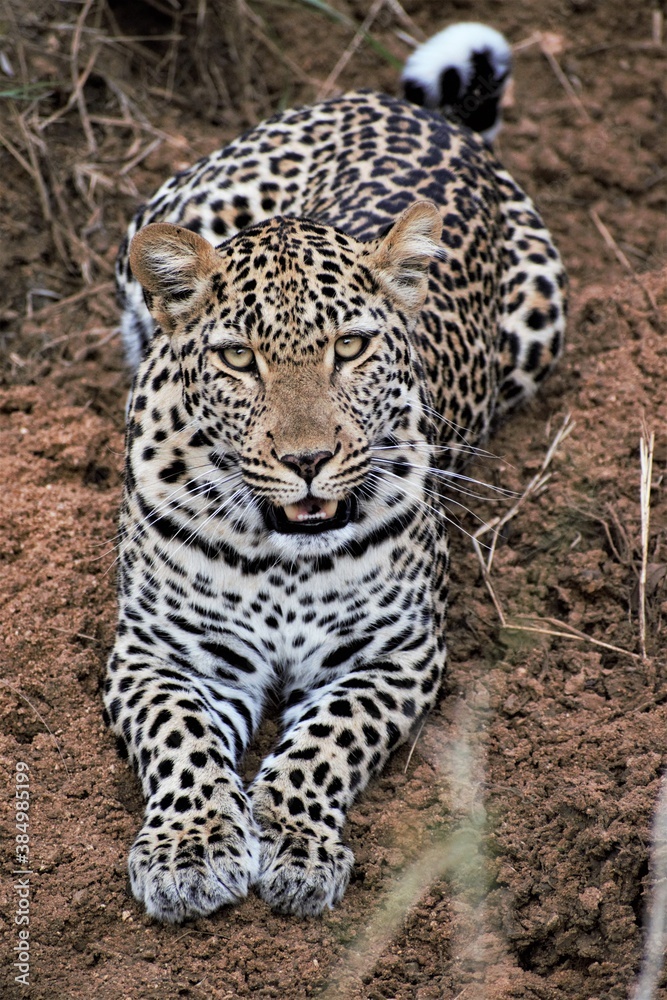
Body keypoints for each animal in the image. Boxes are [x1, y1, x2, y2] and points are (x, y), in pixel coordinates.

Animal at [104, 80, 566, 923]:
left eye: (349, 348)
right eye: (237, 358)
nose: (308, 461)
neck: (283, 556)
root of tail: (411, 109)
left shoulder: (394, 654)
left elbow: (328, 741)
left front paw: (294, 845)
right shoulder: (163, 653)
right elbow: (181, 738)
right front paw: (191, 852)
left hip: (539, 322)